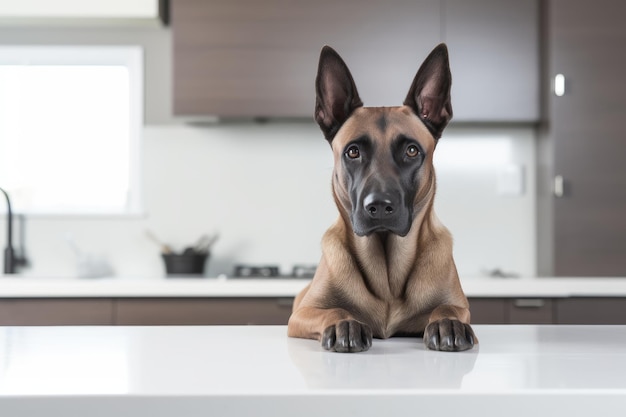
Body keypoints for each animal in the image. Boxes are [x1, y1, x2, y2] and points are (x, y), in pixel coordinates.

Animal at [286, 44, 472, 352]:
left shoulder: (460, 305)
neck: (387, 277)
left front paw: (448, 322)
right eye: (353, 152)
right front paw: (344, 324)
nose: (380, 206)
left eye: (411, 150)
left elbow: (446, 308)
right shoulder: (302, 313)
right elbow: (335, 310)